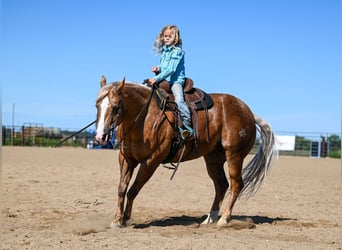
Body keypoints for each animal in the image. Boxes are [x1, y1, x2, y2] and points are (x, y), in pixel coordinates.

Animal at [94, 75, 276, 228]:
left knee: (236, 184)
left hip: (234, 156)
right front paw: (117, 220)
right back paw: (210, 218)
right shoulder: (126, 159)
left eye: (116, 107)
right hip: (213, 159)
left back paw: (224, 219)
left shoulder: (151, 161)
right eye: (97, 105)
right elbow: (122, 189)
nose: (100, 136)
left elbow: (133, 190)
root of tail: (248, 112)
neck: (144, 118)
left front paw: (125, 218)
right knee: (221, 185)